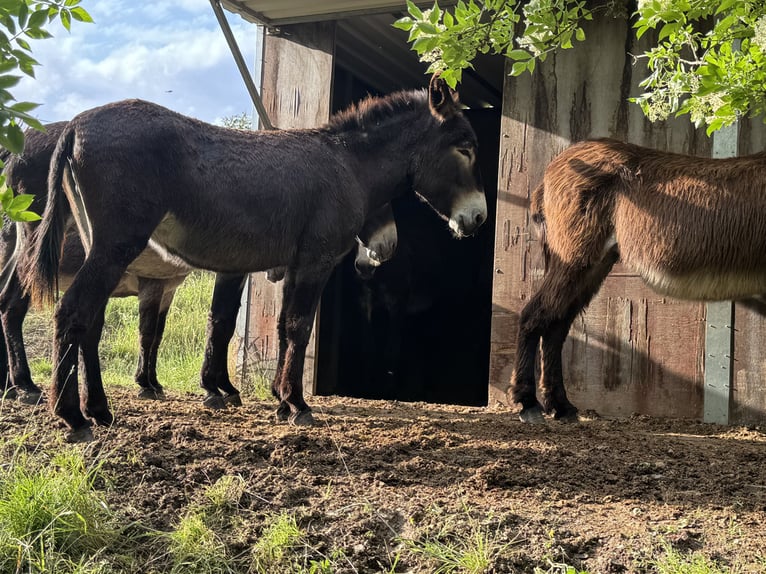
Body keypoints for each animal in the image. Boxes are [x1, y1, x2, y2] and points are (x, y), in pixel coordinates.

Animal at [0, 122, 193, 404]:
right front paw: (145, 384)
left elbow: (158, 335)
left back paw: (9, 384)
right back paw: (24, 384)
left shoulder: (168, 290)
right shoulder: (152, 284)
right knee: (11, 307)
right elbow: (146, 334)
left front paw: (153, 382)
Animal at [24, 74, 487, 442]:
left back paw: (99, 411)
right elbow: (299, 327)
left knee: (90, 322)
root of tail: (77, 123)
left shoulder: (295, 265)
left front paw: (281, 401)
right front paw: (298, 405)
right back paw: (72, 417)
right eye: (464, 148)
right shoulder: (315, 262)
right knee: (72, 313)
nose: (479, 218)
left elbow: (282, 328)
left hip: (100, 245)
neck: (347, 165)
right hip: (117, 244)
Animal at [512, 137, 766, 423]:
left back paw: (561, 406)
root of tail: (552, 167)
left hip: (594, 263)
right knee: (534, 316)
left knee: (556, 325)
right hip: (574, 257)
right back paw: (528, 403)